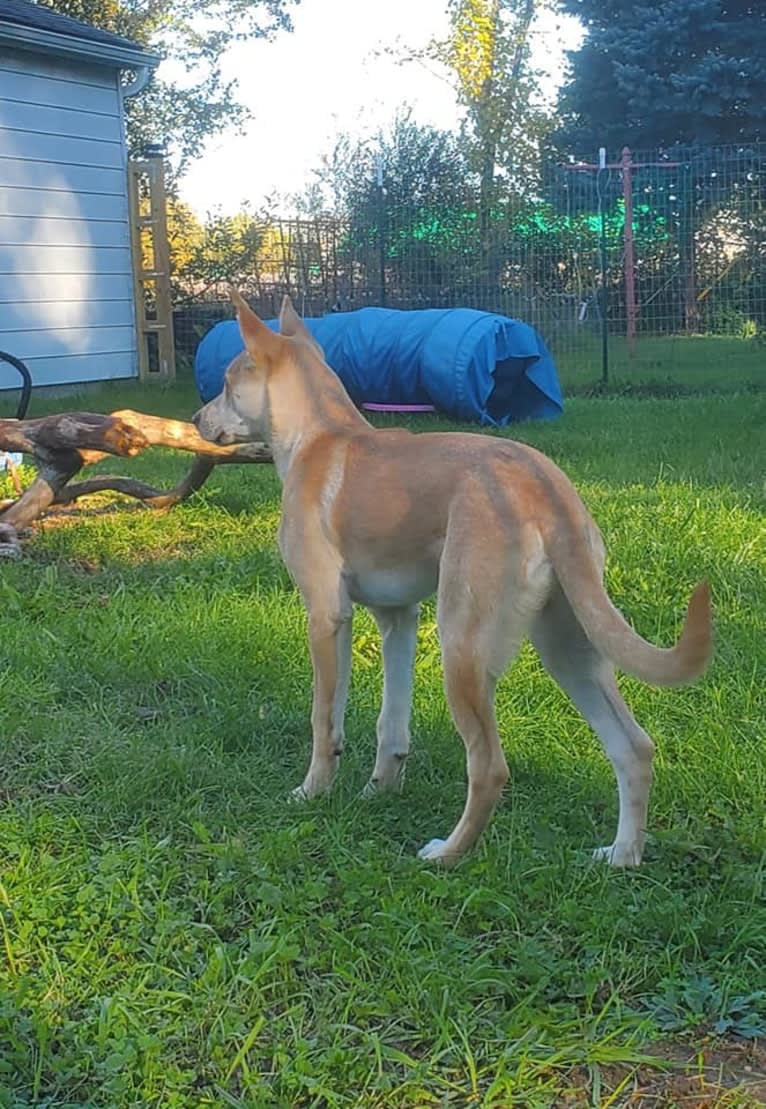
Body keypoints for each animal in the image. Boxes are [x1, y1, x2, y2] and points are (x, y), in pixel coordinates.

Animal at [192, 292, 713, 865]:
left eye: (226, 383)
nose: (194, 419)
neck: (321, 434)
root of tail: (544, 487)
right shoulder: (398, 620)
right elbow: (391, 724)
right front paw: (378, 790)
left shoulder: (326, 616)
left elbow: (324, 718)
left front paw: (312, 792)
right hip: (569, 647)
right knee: (633, 746)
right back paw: (620, 855)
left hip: (463, 645)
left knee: (489, 767)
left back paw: (447, 853)